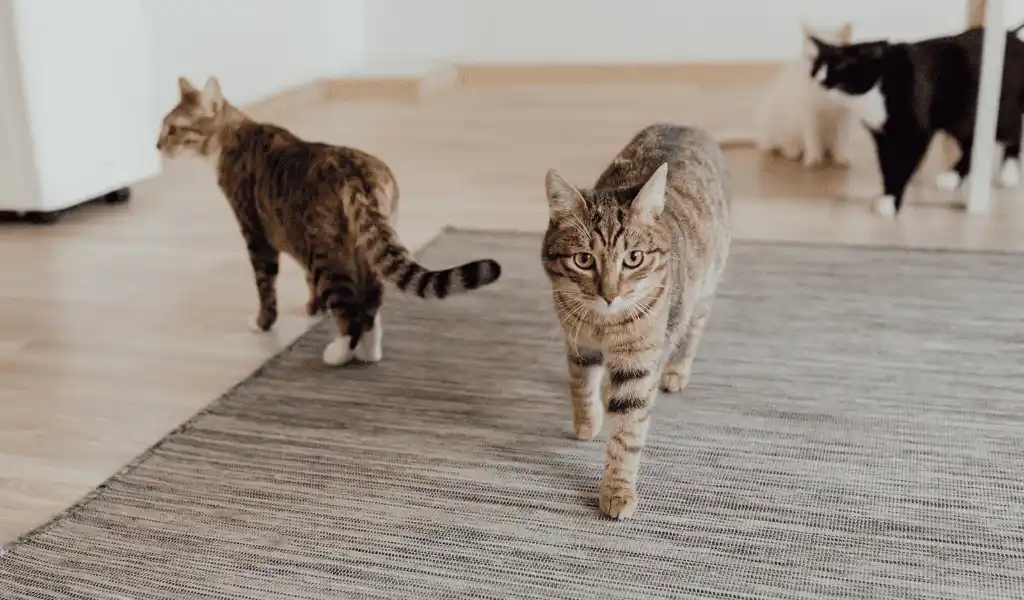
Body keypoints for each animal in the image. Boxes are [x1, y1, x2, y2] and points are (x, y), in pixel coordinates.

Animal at [154, 74, 499, 364]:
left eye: (173, 129)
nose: (157, 145)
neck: (233, 133)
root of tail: (354, 170)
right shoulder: (293, 234)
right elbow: (308, 281)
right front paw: (312, 307)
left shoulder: (256, 233)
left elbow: (266, 287)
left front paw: (263, 322)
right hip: (364, 244)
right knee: (371, 300)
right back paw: (369, 351)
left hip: (326, 250)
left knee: (348, 309)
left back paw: (339, 352)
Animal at [540, 123, 733, 516]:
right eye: (583, 260)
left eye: (634, 258)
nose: (609, 294)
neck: (603, 326)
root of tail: (689, 126)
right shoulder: (577, 340)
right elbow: (580, 385)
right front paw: (587, 422)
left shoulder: (639, 360)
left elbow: (627, 431)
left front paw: (617, 491)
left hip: (702, 292)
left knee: (691, 332)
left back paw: (675, 371)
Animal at [757, 22, 860, 166]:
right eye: (813, 59)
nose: (819, 76)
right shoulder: (808, 113)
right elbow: (812, 138)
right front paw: (814, 159)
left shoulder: (846, 114)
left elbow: (842, 139)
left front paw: (841, 157)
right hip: (772, 116)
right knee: (776, 144)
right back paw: (792, 150)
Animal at [806, 24, 1024, 215]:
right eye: (816, 68)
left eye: (841, 66)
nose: (821, 82)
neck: (879, 85)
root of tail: (1012, 34)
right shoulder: (882, 135)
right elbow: (887, 165)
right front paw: (888, 195)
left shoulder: (912, 132)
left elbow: (901, 164)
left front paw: (891, 202)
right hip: (959, 120)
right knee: (971, 145)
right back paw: (952, 177)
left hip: (995, 111)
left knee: (1013, 131)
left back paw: (1009, 172)